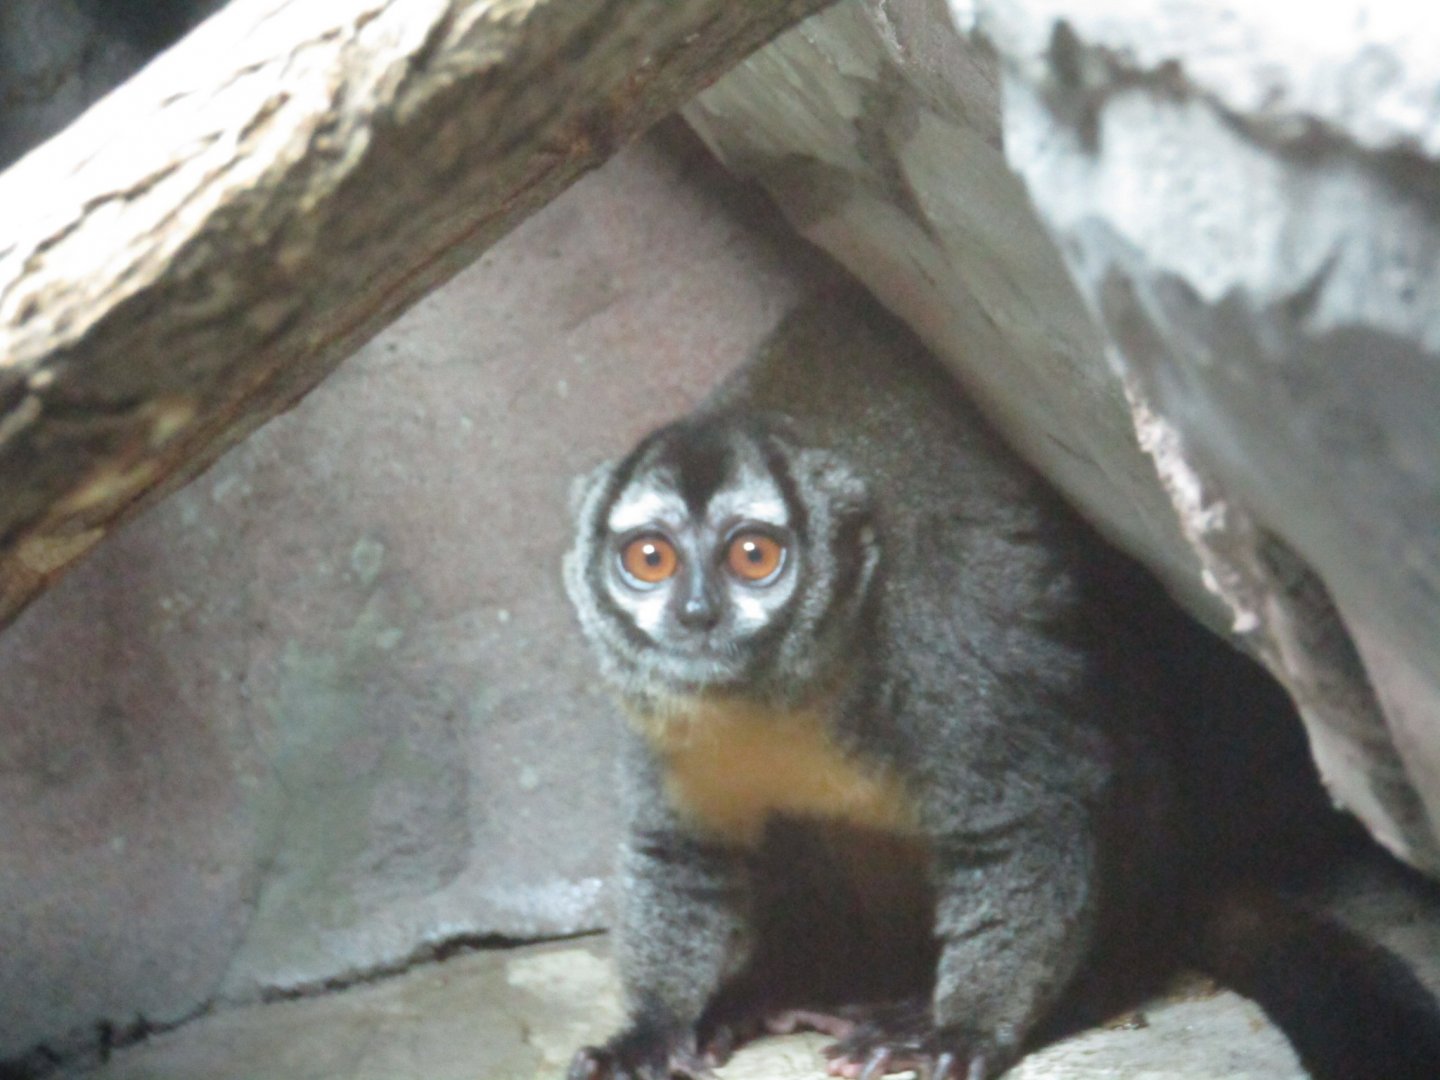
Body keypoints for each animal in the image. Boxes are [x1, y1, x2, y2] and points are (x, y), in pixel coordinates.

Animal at [561, 281, 1440, 1080]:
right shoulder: (657, 706)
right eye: (650, 559)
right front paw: (652, 1031)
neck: (787, 687)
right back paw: (784, 987)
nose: (698, 612)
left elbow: (1031, 812)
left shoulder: (944, 651)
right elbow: (679, 850)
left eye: (753, 555)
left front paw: (965, 1029)